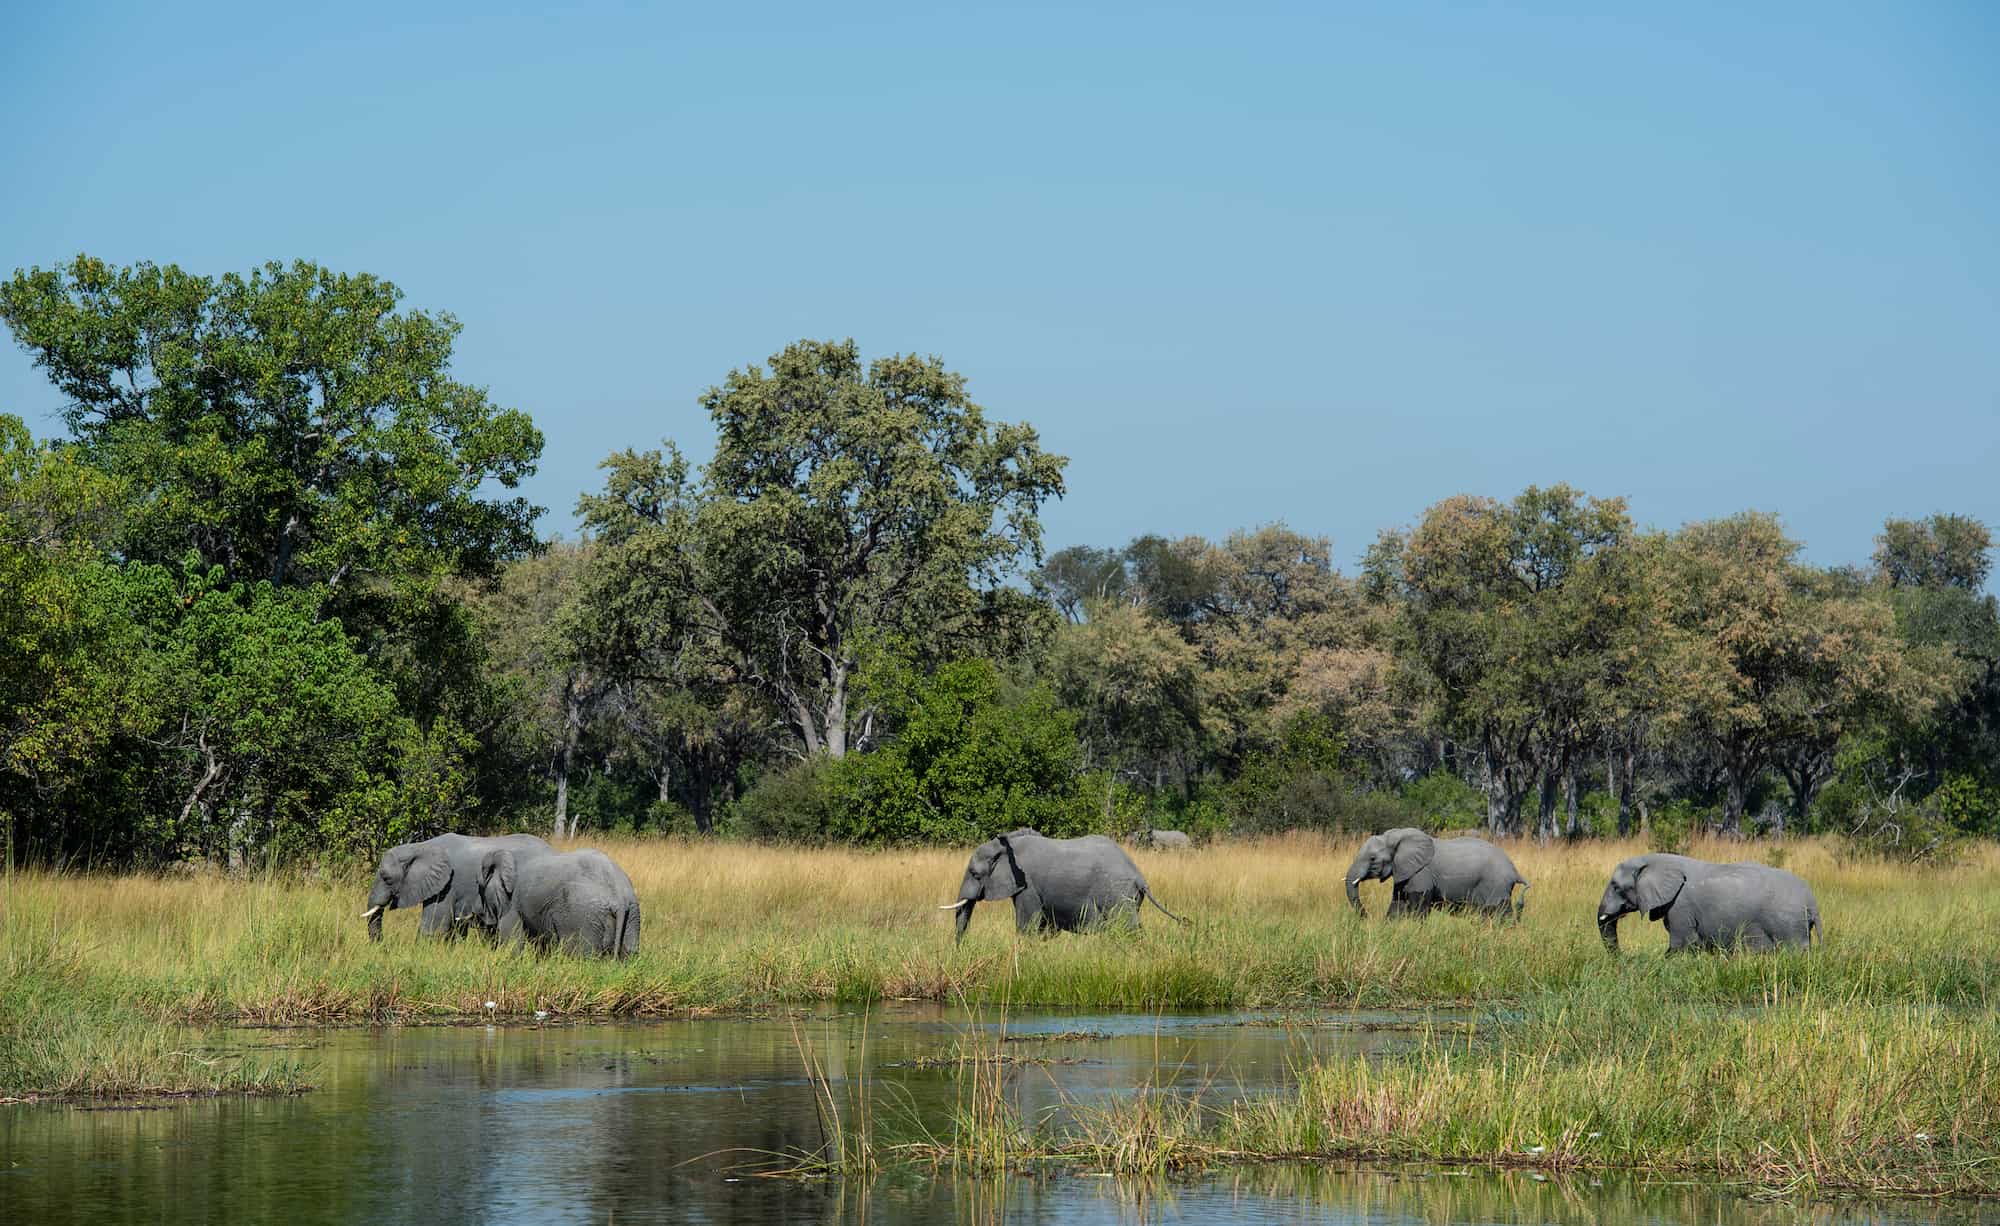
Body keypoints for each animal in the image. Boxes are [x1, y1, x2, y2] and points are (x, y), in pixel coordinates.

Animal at [480, 847, 641, 958]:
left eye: (480, 888)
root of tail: (619, 898)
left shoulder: (511, 901)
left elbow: (512, 942)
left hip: (582, 916)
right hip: (632, 914)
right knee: (629, 950)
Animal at [942, 829, 1186, 942]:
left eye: (975, 874)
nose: (960, 948)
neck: (1005, 845)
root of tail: (1140, 877)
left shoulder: (1028, 886)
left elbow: (1027, 923)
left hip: (1116, 893)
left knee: (1126, 927)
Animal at [1345, 827, 1527, 920]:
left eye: (1372, 858)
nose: (1366, 916)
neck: (1396, 837)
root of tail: (1515, 871)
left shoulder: (1421, 872)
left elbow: (1418, 906)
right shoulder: (1404, 870)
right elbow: (1398, 903)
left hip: (1496, 885)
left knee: (1499, 912)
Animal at [1597, 854, 1819, 953]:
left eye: (1616, 887)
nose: (1622, 959)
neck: (1656, 860)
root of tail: (1811, 900)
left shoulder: (1680, 906)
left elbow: (1682, 943)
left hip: (1789, 925)